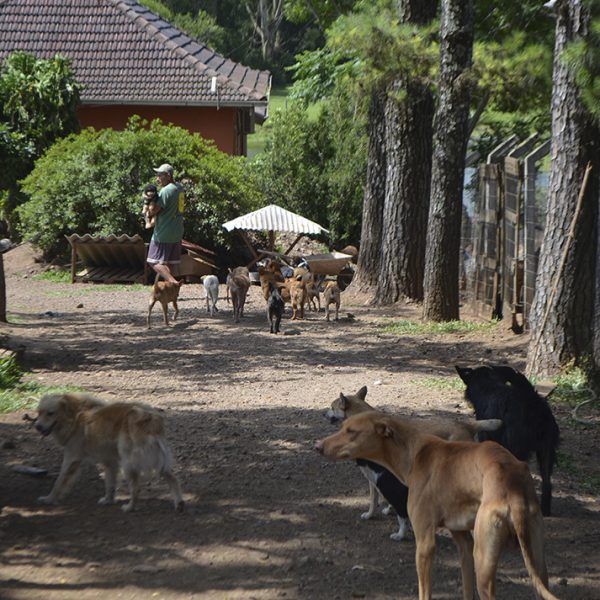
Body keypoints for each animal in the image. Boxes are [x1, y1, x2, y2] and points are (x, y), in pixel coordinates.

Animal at [34, 394, 184, 510]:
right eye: (39, 413)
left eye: (50, 413)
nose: (37, 427)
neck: (74, 416)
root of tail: (149, 418)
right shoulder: (110, 461)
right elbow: (109, 483)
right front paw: (108, 500)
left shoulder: (71, 458)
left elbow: (59, 482)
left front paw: (49, 499)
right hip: (158, 460)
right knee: (173, 479)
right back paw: (179, 503)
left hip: (128, 461)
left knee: (136, 487)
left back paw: (130, 507)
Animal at [316, 410, 560, 600]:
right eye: (342, 427)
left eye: (351, 431)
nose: (318, 446)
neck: (415, 453)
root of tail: (513, 489)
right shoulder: (464, 543)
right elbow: (466, 589)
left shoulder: (425, 544)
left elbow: (425, 592)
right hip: (537, 564)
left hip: (485, 567)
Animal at [326, 386, 504, 540]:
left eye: (332, 406)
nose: (324, 415)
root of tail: (467, 424)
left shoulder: (377, 478)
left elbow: (374, 499)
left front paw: (371, 515)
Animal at [458, 366, 560, 516]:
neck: (488, 387)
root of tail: (531, 401)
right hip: (546, 452)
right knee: (547, 484)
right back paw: (545, 510)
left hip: (518, 450)